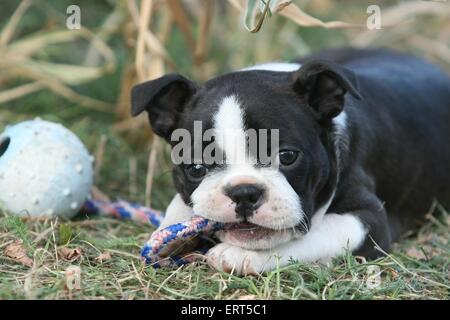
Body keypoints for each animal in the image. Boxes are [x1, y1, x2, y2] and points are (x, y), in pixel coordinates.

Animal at [130, 48, 450, 276]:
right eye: (196, 167)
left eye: (287, 156)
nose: (244, 192)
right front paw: (172, 229)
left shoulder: (368, 219)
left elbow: (312, 235)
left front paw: (246, 254)